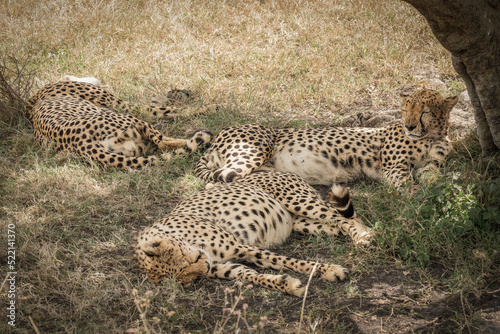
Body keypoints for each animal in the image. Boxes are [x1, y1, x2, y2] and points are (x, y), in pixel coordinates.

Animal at [26, 81, 212, 170]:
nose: (186, 91)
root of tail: (81, 142)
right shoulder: (127, 107)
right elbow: (173, 110)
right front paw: (210, 107)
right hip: (129, 119)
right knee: (163, 143)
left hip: (133, 147)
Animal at [135, 171, 370, 296]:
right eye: (189, 278)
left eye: (187, 261)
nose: (206, 266)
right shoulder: (228, 266)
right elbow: (252, 275)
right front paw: (288, 284)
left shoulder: (241, 247)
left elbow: (290, 261)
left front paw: (329, 269)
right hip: (302, 223)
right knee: (338, 224)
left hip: (298, 201)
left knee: (345, 218)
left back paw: (362, 237)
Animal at [194, 88, 458, 192]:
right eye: (405, 110)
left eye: (424, 111)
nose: (409, 126)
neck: (432, 136)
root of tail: (221, 133)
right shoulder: (394, 169)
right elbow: (409, 185)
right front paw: (421, 201)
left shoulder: (432, 165)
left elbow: (433, 177)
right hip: (251, 153)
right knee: (216, 182)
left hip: (261, 169)